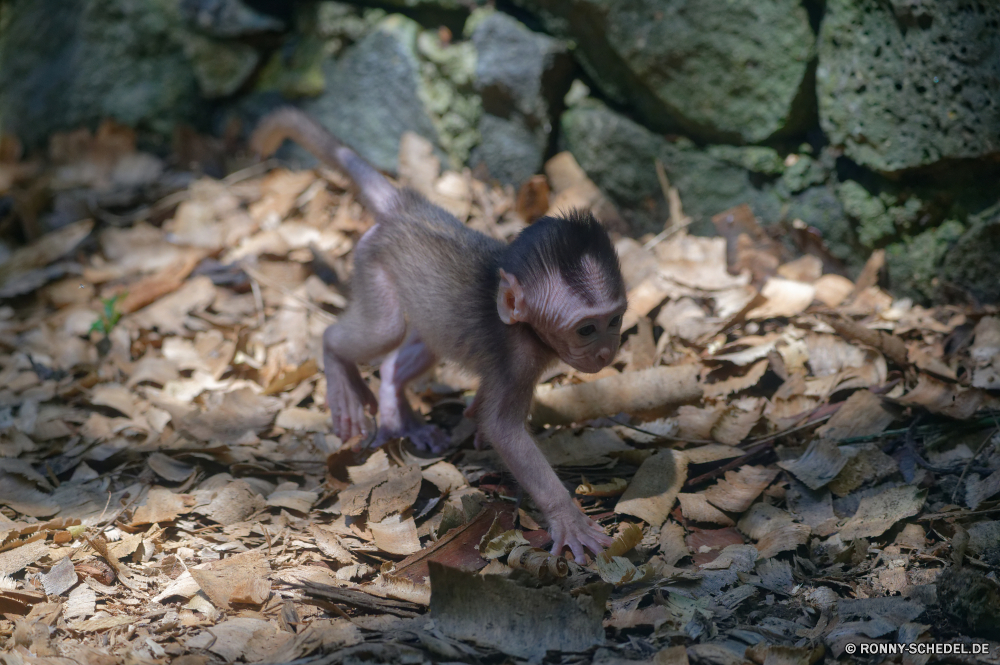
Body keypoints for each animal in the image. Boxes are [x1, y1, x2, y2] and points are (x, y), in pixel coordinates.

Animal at [250, 110, 624, 560]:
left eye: (614, 321)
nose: (606, 352)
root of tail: (405, 208)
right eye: (587, 329)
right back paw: (341, 368)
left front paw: (472, 419)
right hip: (371, 260)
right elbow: (503, 430)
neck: (525, 325)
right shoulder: (517, 358)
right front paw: (568, 519)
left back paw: (403, 412)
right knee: (381, 331)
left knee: (412, 351)